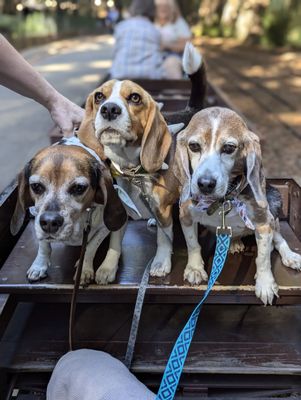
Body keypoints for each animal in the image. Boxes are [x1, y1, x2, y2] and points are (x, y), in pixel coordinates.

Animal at [10, 138, 125, 284]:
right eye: (36, 186)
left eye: (79, 188)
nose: (49, 222)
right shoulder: (37, 220)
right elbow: (43, 245)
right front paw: (39, 265)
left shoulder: (104, 229)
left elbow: (90, 246)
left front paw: (84, 269)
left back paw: (107, 268)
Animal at [77, 43, 205, 282]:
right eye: (99, 96)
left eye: (135, 98)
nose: (109, 109)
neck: (132, 169)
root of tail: (193, 111)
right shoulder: (120, 207)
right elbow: (115, 240)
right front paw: (108, 266)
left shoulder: (163, 208)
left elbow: (164, 238)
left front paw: (161, 262)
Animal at [176, 108, 300, 304]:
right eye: (194, 146)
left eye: (228, 148)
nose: (205, 184)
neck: (223, 200)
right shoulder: (185, 215)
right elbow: (192, 244)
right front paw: (195, 268)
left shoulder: (264, 224)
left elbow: (263, 258)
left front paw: (265, 283)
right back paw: (234, 243)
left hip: (273, 208)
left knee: (279, 240)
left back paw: (290, 256)